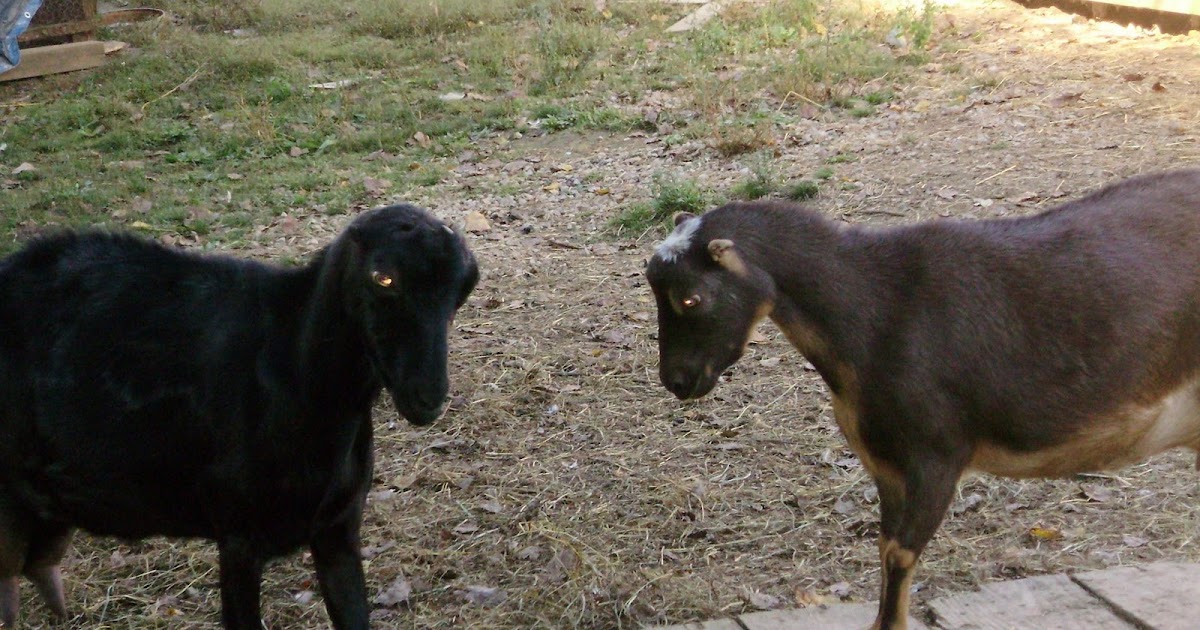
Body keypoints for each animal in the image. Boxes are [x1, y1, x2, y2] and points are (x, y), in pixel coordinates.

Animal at [645, 169, 1200, 630]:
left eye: (691, 298)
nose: (677, 380)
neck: (875, 309)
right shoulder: (887, 468)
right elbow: (885, 547)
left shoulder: (937, 456)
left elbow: (899, 555)